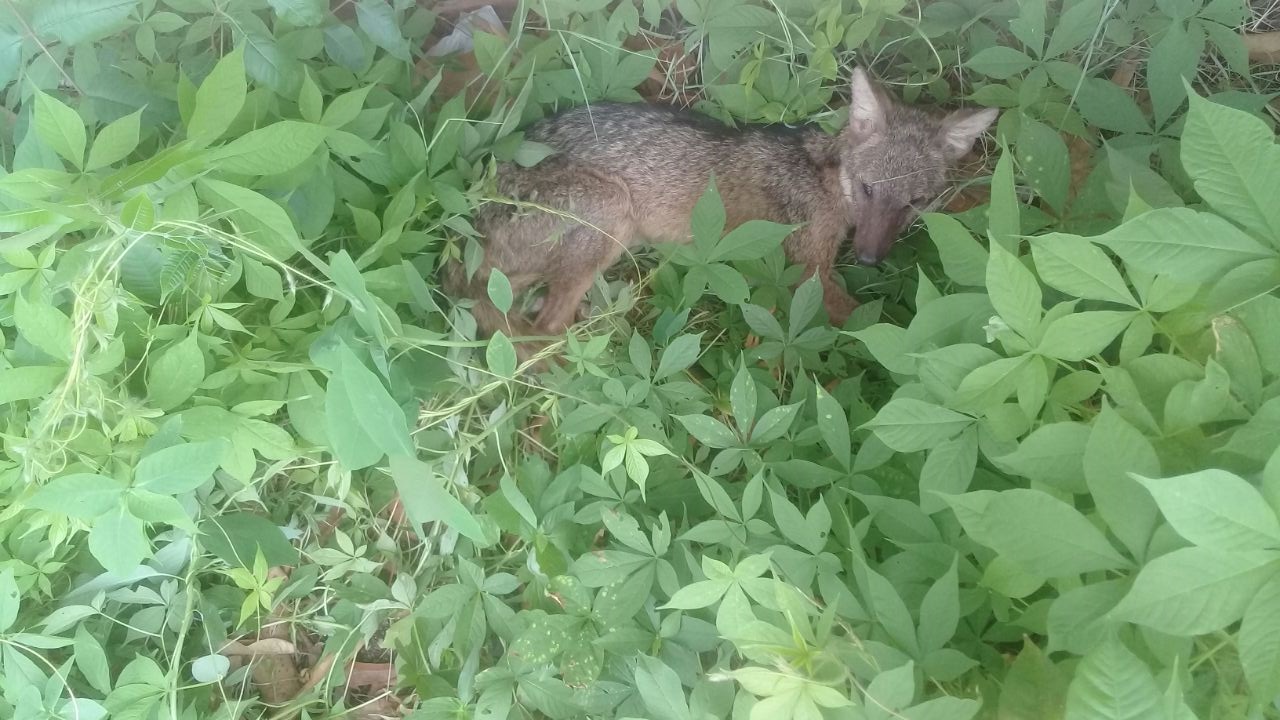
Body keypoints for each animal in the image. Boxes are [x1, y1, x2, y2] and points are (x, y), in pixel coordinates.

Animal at [444, 66, 997, 352]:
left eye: (915, 203)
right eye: (866, 189)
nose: (869, 260)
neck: (821, 176)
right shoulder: (809, 273)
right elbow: (883, 327)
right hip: (613, 214)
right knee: (547, 327)